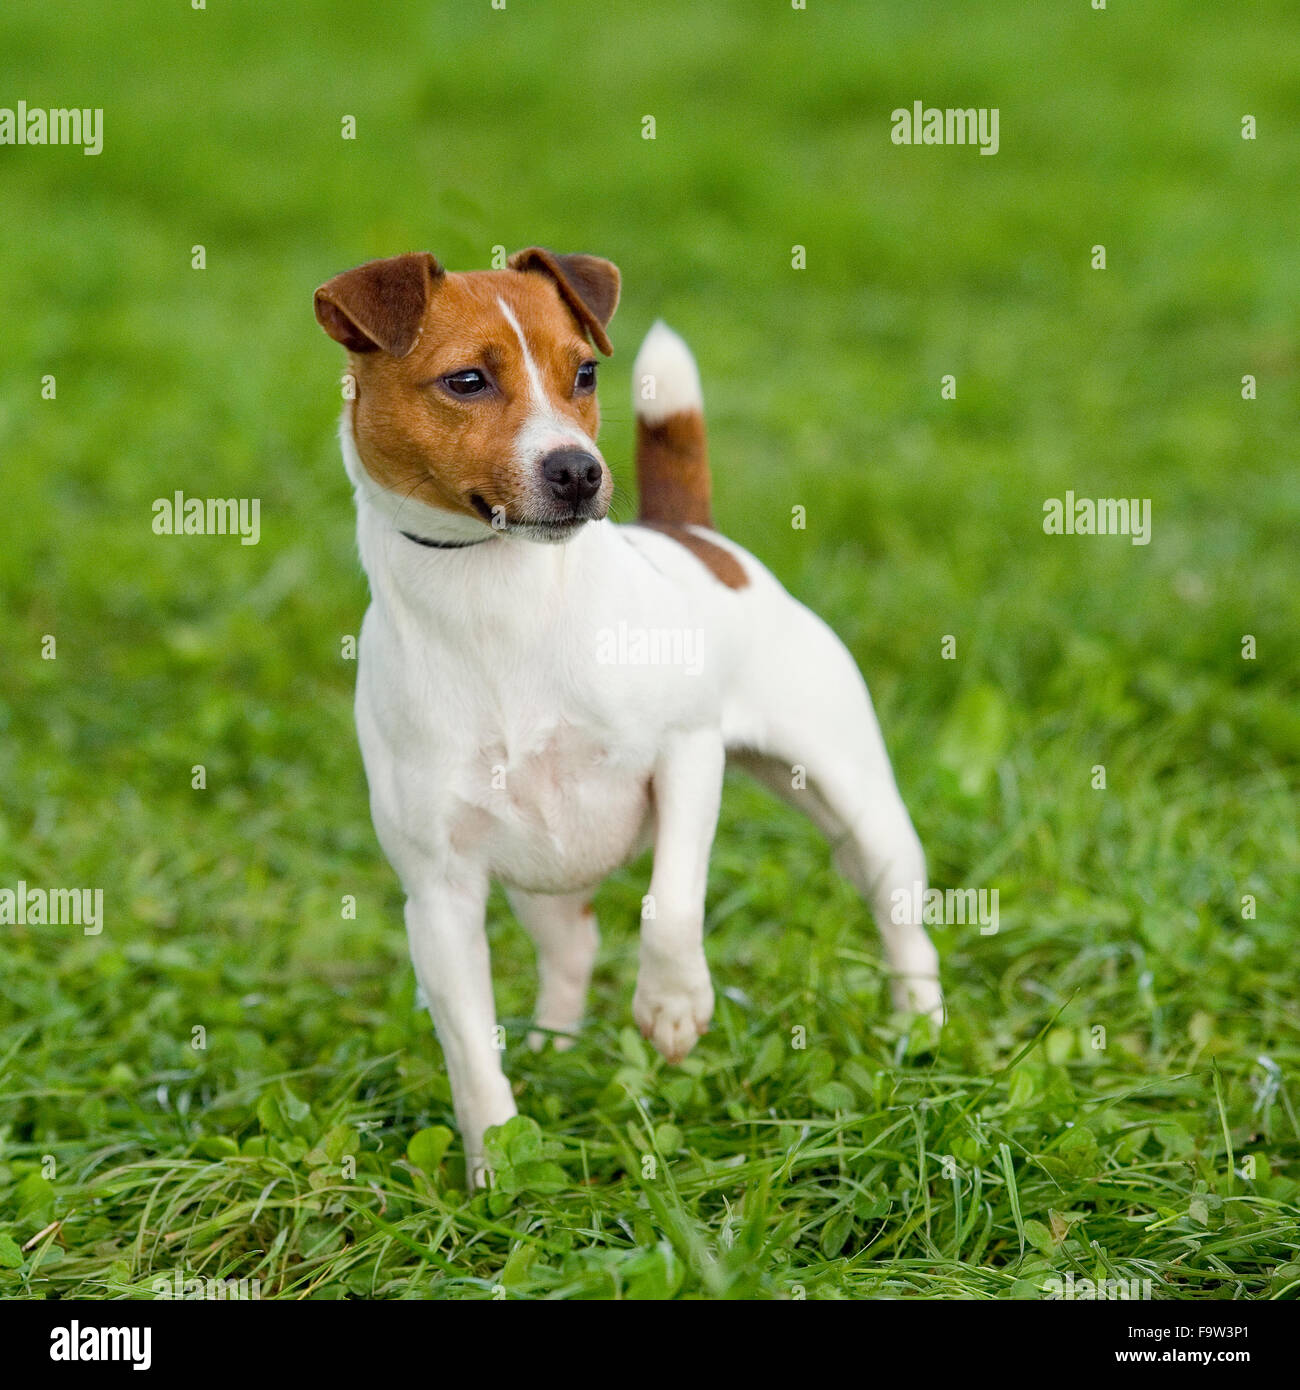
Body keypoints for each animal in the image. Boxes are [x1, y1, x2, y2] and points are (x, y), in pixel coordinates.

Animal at [315, 247, 945, 1173]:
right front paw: (497, 1161)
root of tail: (697, 536)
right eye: (467, 381)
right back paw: (553, 1047)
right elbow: (469, 1049)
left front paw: (674, 1005)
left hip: (857, 805)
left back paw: (920, 1028)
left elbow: (670, 904)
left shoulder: (687, 755)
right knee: (571, 949)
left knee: (901, 918)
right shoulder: (438, 894)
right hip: (537, 876)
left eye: (584, 372)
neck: (497, 600)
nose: (579, 470)